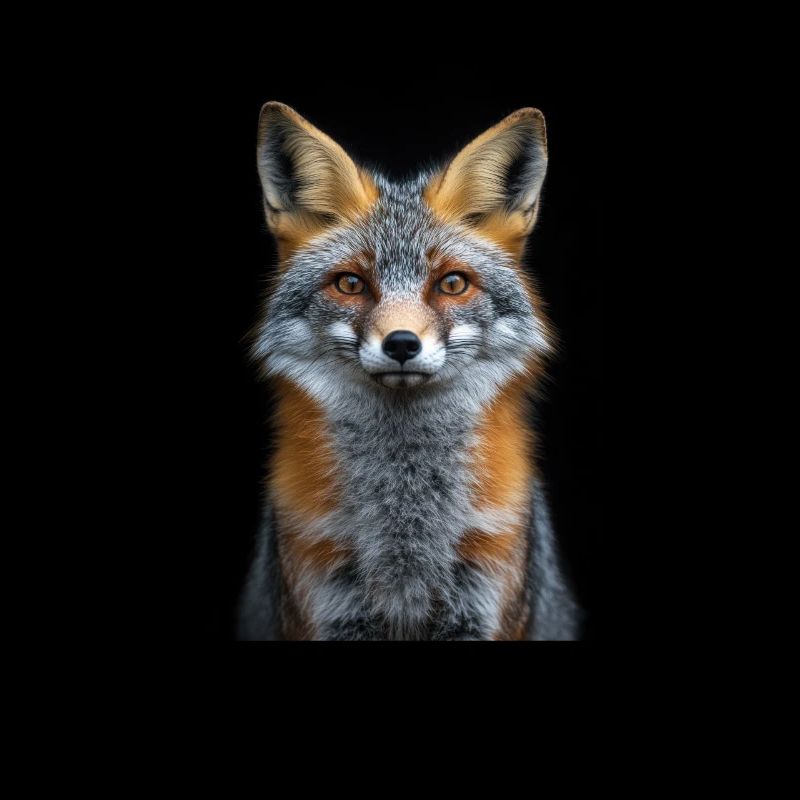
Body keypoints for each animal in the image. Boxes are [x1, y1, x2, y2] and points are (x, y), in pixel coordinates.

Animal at [237, 101, 580, 640]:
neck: (406, 539)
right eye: (351, 283)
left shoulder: (482, 602)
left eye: (452, 283)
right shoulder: (327, 603)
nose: (401, 344)